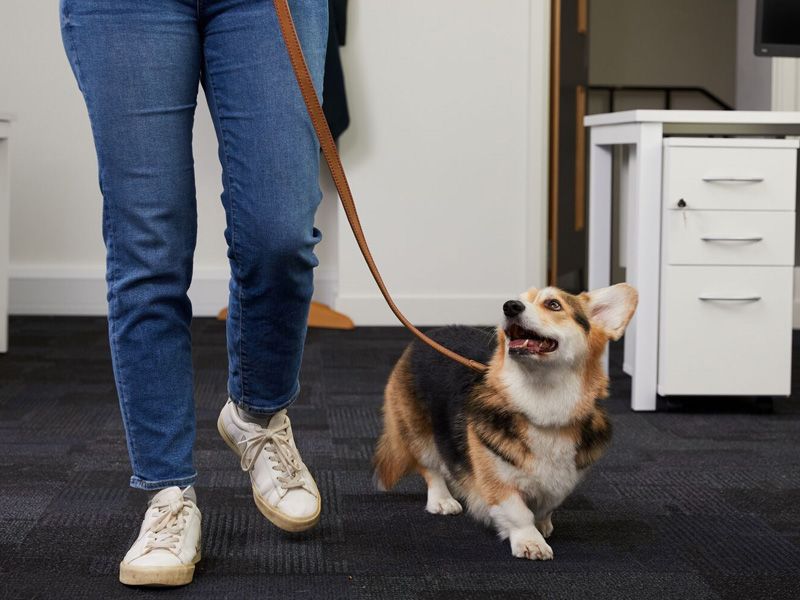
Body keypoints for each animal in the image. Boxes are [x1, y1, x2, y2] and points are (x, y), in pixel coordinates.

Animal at [374, 284, 636, 560]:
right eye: (517, 300)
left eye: (553, 304)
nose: (510, 306)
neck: (542, 403)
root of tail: (429, 335)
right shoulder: (497, 479)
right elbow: (518, 512)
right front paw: (531, 541)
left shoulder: (563, 479)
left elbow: (546, 505)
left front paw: (542, 524)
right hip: (418, 431)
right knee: (431, 468)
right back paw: (442, 500)